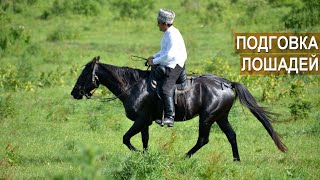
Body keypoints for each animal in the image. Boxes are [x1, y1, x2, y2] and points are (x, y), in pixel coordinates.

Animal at [71, 56, 286, 160]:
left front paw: (138, 154)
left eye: (84, 74)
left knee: (203, 140)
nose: (74, 93)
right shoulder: (145, 122)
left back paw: (184, 157)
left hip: (207, 118)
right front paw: (144, 156)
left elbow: (126, 138)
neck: (133, 86)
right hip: (221, 117)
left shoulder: (141, 120)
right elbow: (144, 141)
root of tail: (227, 83)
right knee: (231, 136)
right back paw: (236, 160)